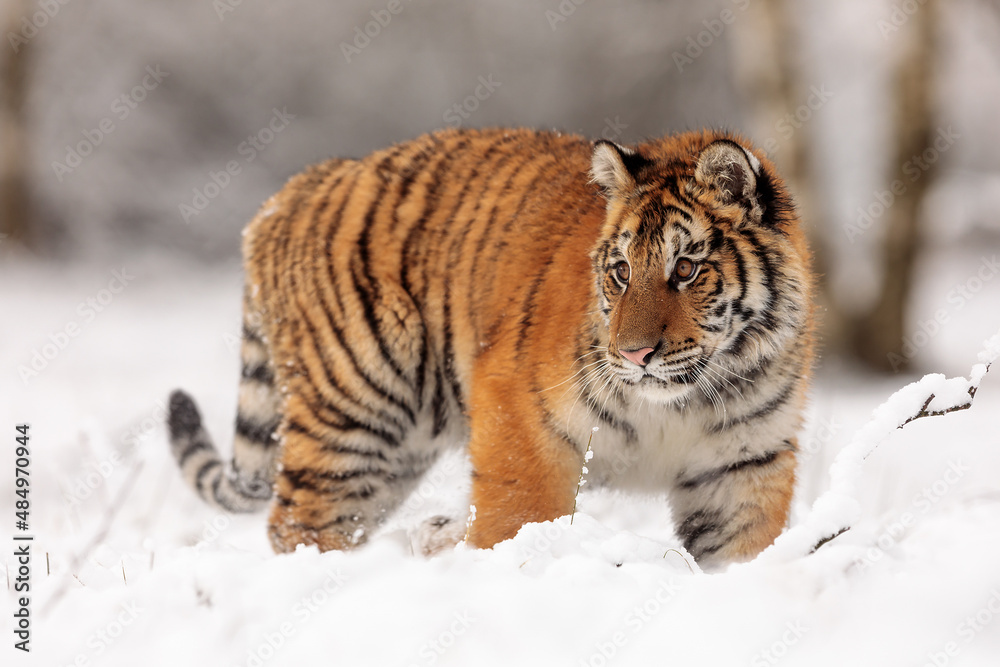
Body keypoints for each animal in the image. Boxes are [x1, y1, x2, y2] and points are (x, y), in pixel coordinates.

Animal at [166, 127, 815, 569]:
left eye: (685, 269)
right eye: (623, 272)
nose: (633, 355)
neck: (684, 402)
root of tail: (291, 192)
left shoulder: (742, 465)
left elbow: (743, 551)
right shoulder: (519, 416)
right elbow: (516, 518)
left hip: (396, 443)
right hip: (354, 413)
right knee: (298, 526)